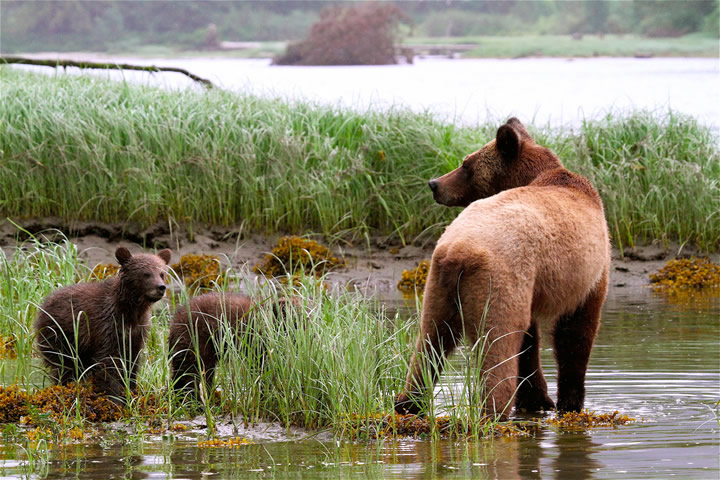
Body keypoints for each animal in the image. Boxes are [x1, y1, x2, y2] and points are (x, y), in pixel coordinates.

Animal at [35, 248, 173, 402]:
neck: (131, 310)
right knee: (65, 365)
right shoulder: (106, 325)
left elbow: (131, 361)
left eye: (162, 273)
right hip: (59, 335)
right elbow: (108, 360)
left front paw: (131, 389)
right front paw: (115, 395)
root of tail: (44, 303)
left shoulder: (137, 331)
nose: (161, 287)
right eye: (146, 273)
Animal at [396, 118, 612, 418]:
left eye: (465, 165)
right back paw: (493, 410)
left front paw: (538, 400)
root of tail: (458, 249)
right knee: (498, 344)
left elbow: (531, 340)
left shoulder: (532, 283)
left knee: (431, 341)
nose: (434, 184)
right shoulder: (587, 272)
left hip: (440, 285)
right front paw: (568, 403)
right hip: (498, 280)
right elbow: (575, 331)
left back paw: (408, 403)